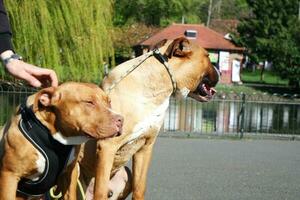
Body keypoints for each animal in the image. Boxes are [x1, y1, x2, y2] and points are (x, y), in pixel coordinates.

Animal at [65, 37, 219, 198]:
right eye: (208, 56)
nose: (219, 70)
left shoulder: (145, 147)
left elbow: (140, 187)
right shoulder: (107, 146)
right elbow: (100, 191)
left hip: (126, 173)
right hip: (74, 170)